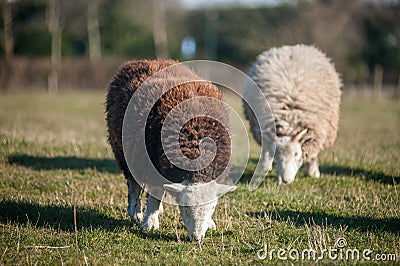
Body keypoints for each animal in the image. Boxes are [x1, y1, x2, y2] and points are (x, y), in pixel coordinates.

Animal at [106, 59, 238, 242]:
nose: (197, 238)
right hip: (124, 152)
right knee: (133, 184)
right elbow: (155, 193)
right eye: (185, 206)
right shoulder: (152, 162)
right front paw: (149, 222)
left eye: (212, 208)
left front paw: (210, 223)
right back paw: (136, 212)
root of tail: (147, 61)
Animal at [242, 44, 342, 185]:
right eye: (277, 155)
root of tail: (289, 48)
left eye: (296, 154)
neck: (289, 121)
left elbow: (312, 153)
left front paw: (313, 173)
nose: (285, 180)